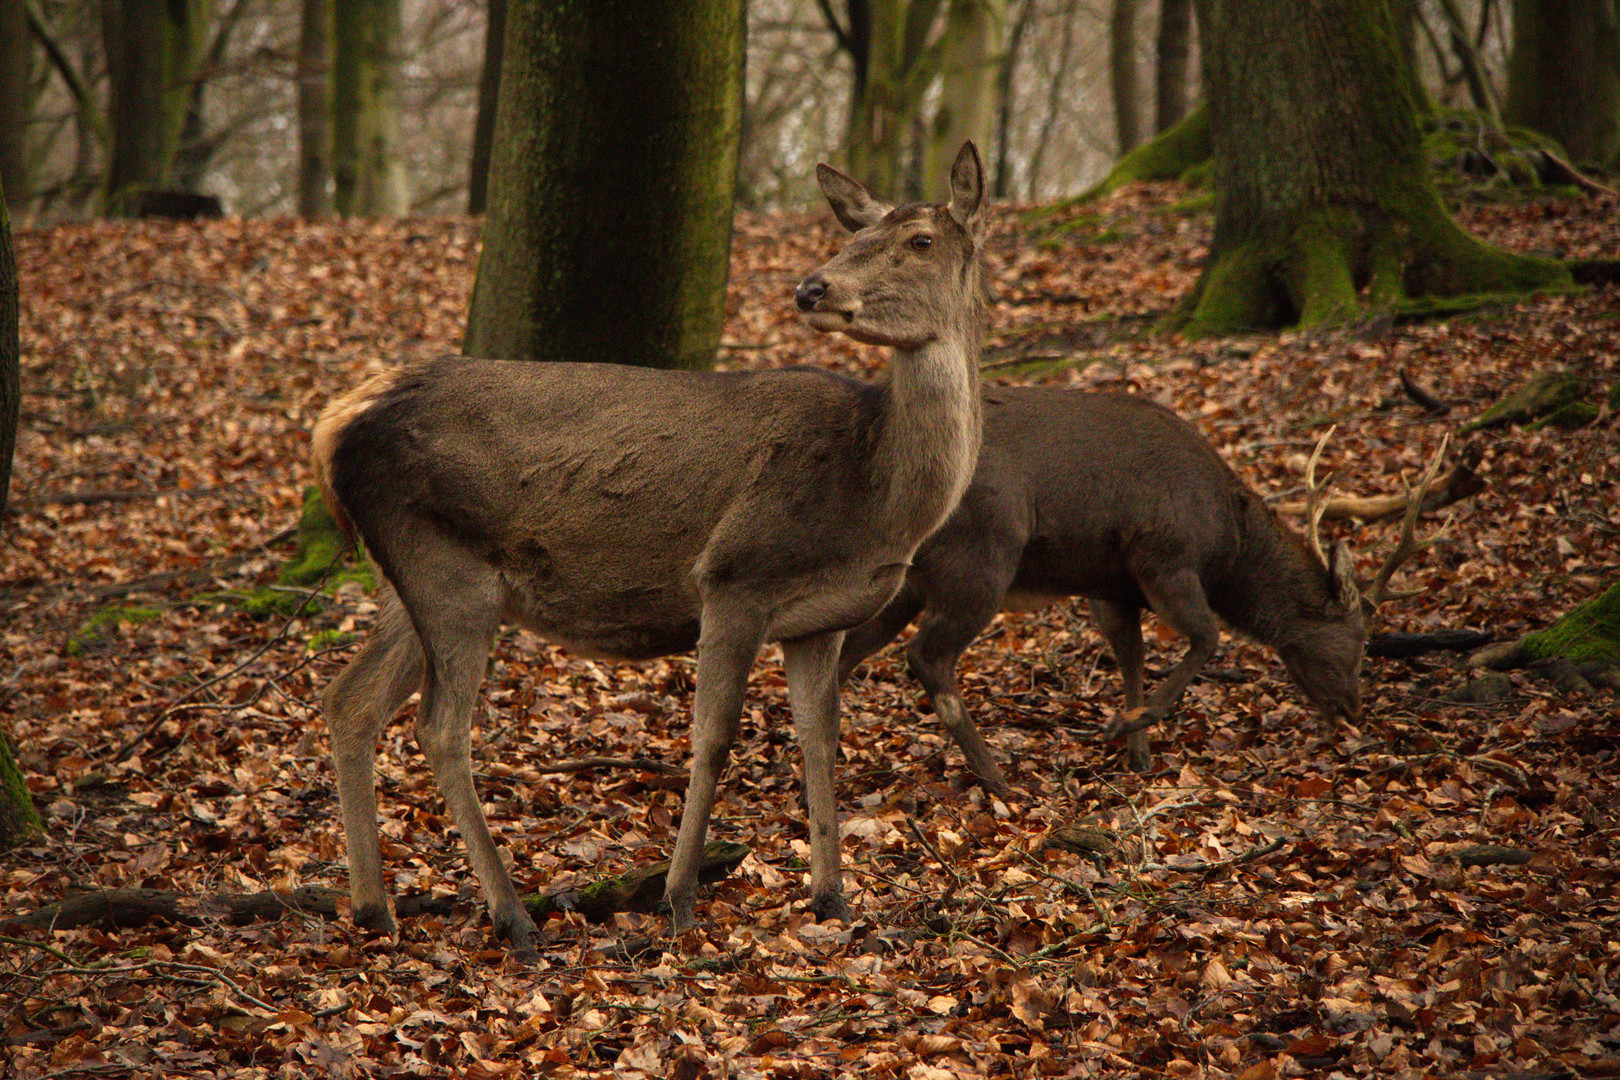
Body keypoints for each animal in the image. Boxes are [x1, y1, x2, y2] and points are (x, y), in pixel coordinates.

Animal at [306, 141, 984, 952]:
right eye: (855, 236)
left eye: (920, 240)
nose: (811, 288)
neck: (873, 492)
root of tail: (331, 425)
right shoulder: (735, 576)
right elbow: (714, 736)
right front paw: (679, 897)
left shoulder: (821, 619)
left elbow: (820, 740)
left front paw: (834, 900)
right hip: (448, 570)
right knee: (439, 728)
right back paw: (511, 915)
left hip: (404, 580)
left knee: (350, 699)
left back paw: (374, 907)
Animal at [835, 388, 1432, 786]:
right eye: (1355, 641)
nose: (1354, 710)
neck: (1229, 546)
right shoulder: (1165, 556)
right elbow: (1207, 638)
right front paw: (1131, 724)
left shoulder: (1111, 585)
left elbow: (1131, 657)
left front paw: (1135, 750)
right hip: (982, 557)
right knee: (926, 655)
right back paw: (997, 777)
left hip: (908, 577)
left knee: (848, 649)